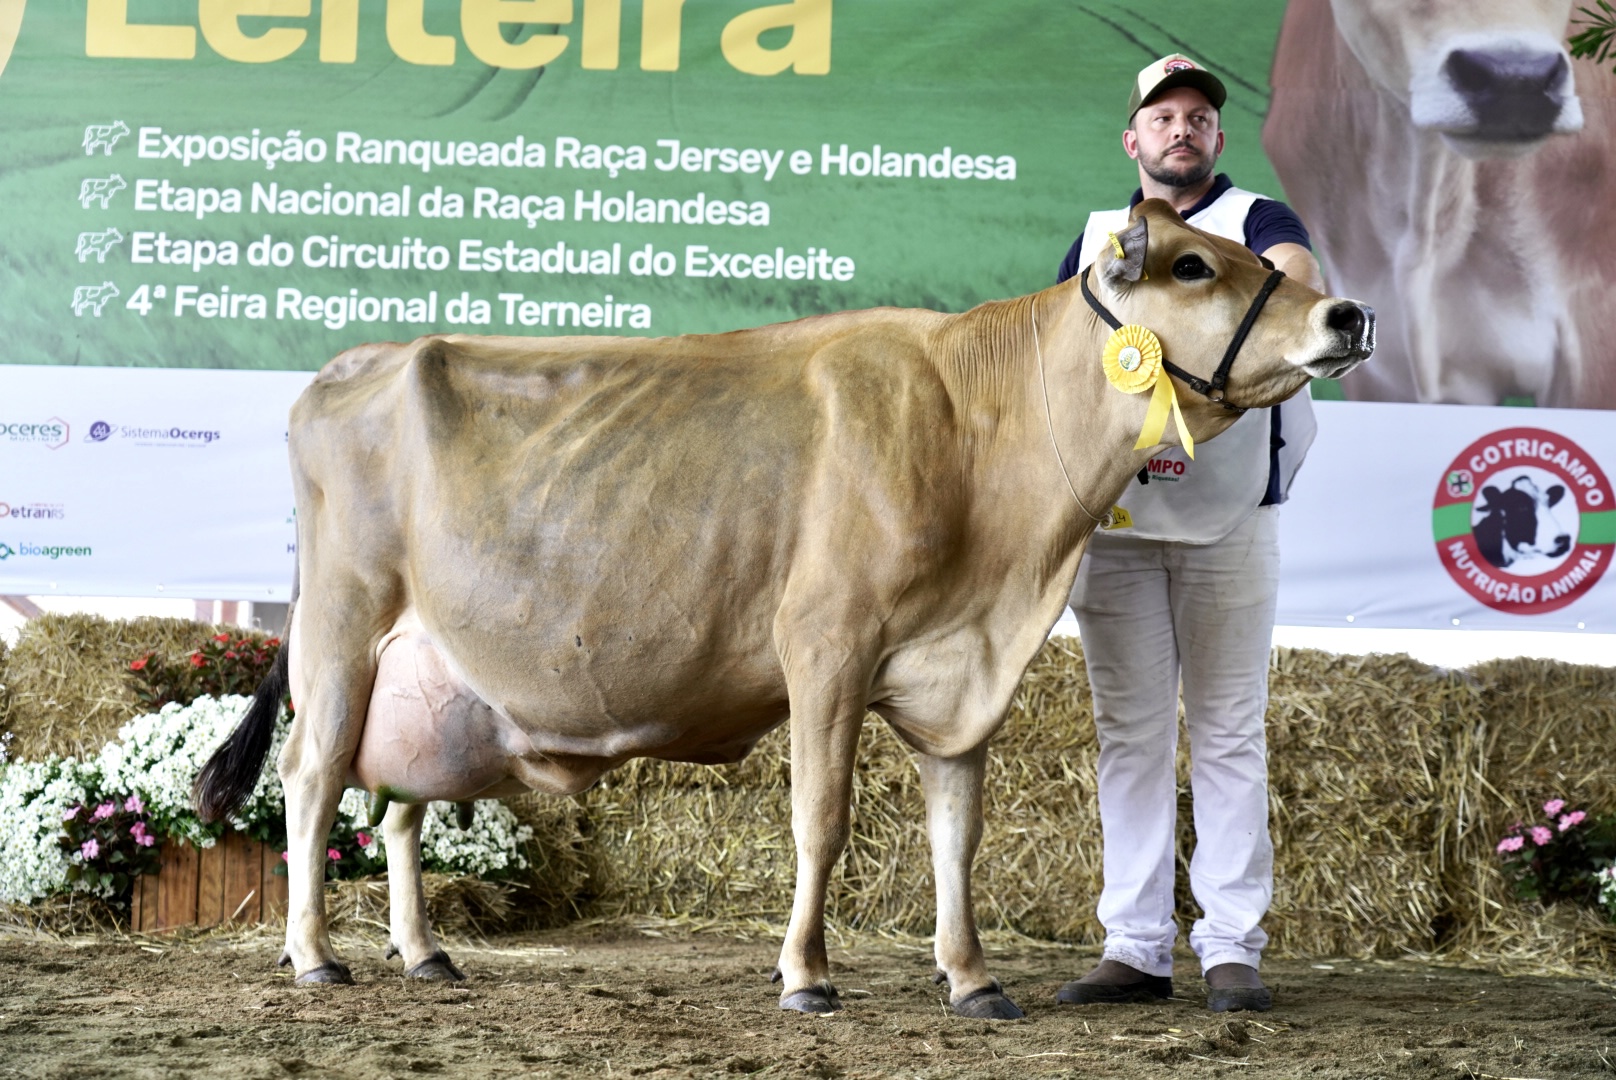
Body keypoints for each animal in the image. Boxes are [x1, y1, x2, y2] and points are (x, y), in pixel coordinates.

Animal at [195, 200, 1373, 1018]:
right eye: (1192, 265)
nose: (1347, 310)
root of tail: (360, 359)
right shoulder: (827, 644)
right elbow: (821, 817)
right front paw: (806, 975)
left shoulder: (963, 670)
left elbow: (959, 837)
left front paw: (971, 978)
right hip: (342, 627)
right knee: (311, 778)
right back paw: (316, 957)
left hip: (435, 675)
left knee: (395, 802)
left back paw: (425, 953)